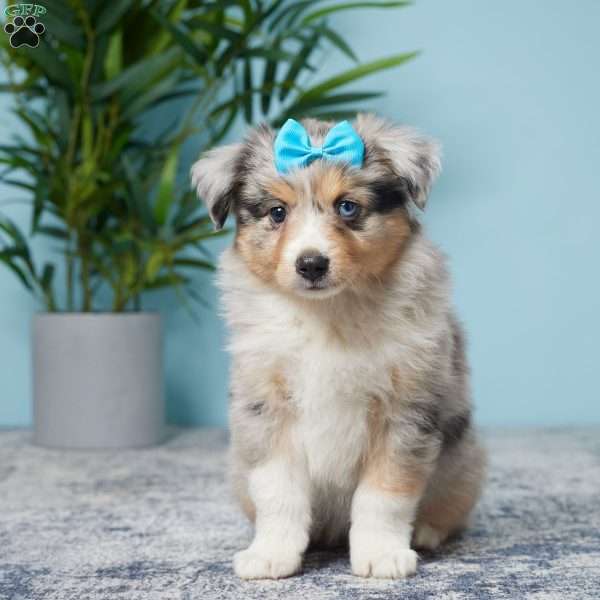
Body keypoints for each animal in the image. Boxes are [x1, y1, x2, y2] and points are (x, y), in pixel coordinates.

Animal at [195, 113, 486, 580]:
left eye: (347, 207)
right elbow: (277, 491)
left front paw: (382, 553)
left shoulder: (405, 409)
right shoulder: (264, 407)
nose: (311, 264)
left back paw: (426, 532)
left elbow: (384, 494)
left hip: (464, 463)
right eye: (277, 212)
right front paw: (271, 553)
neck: (328, 312)